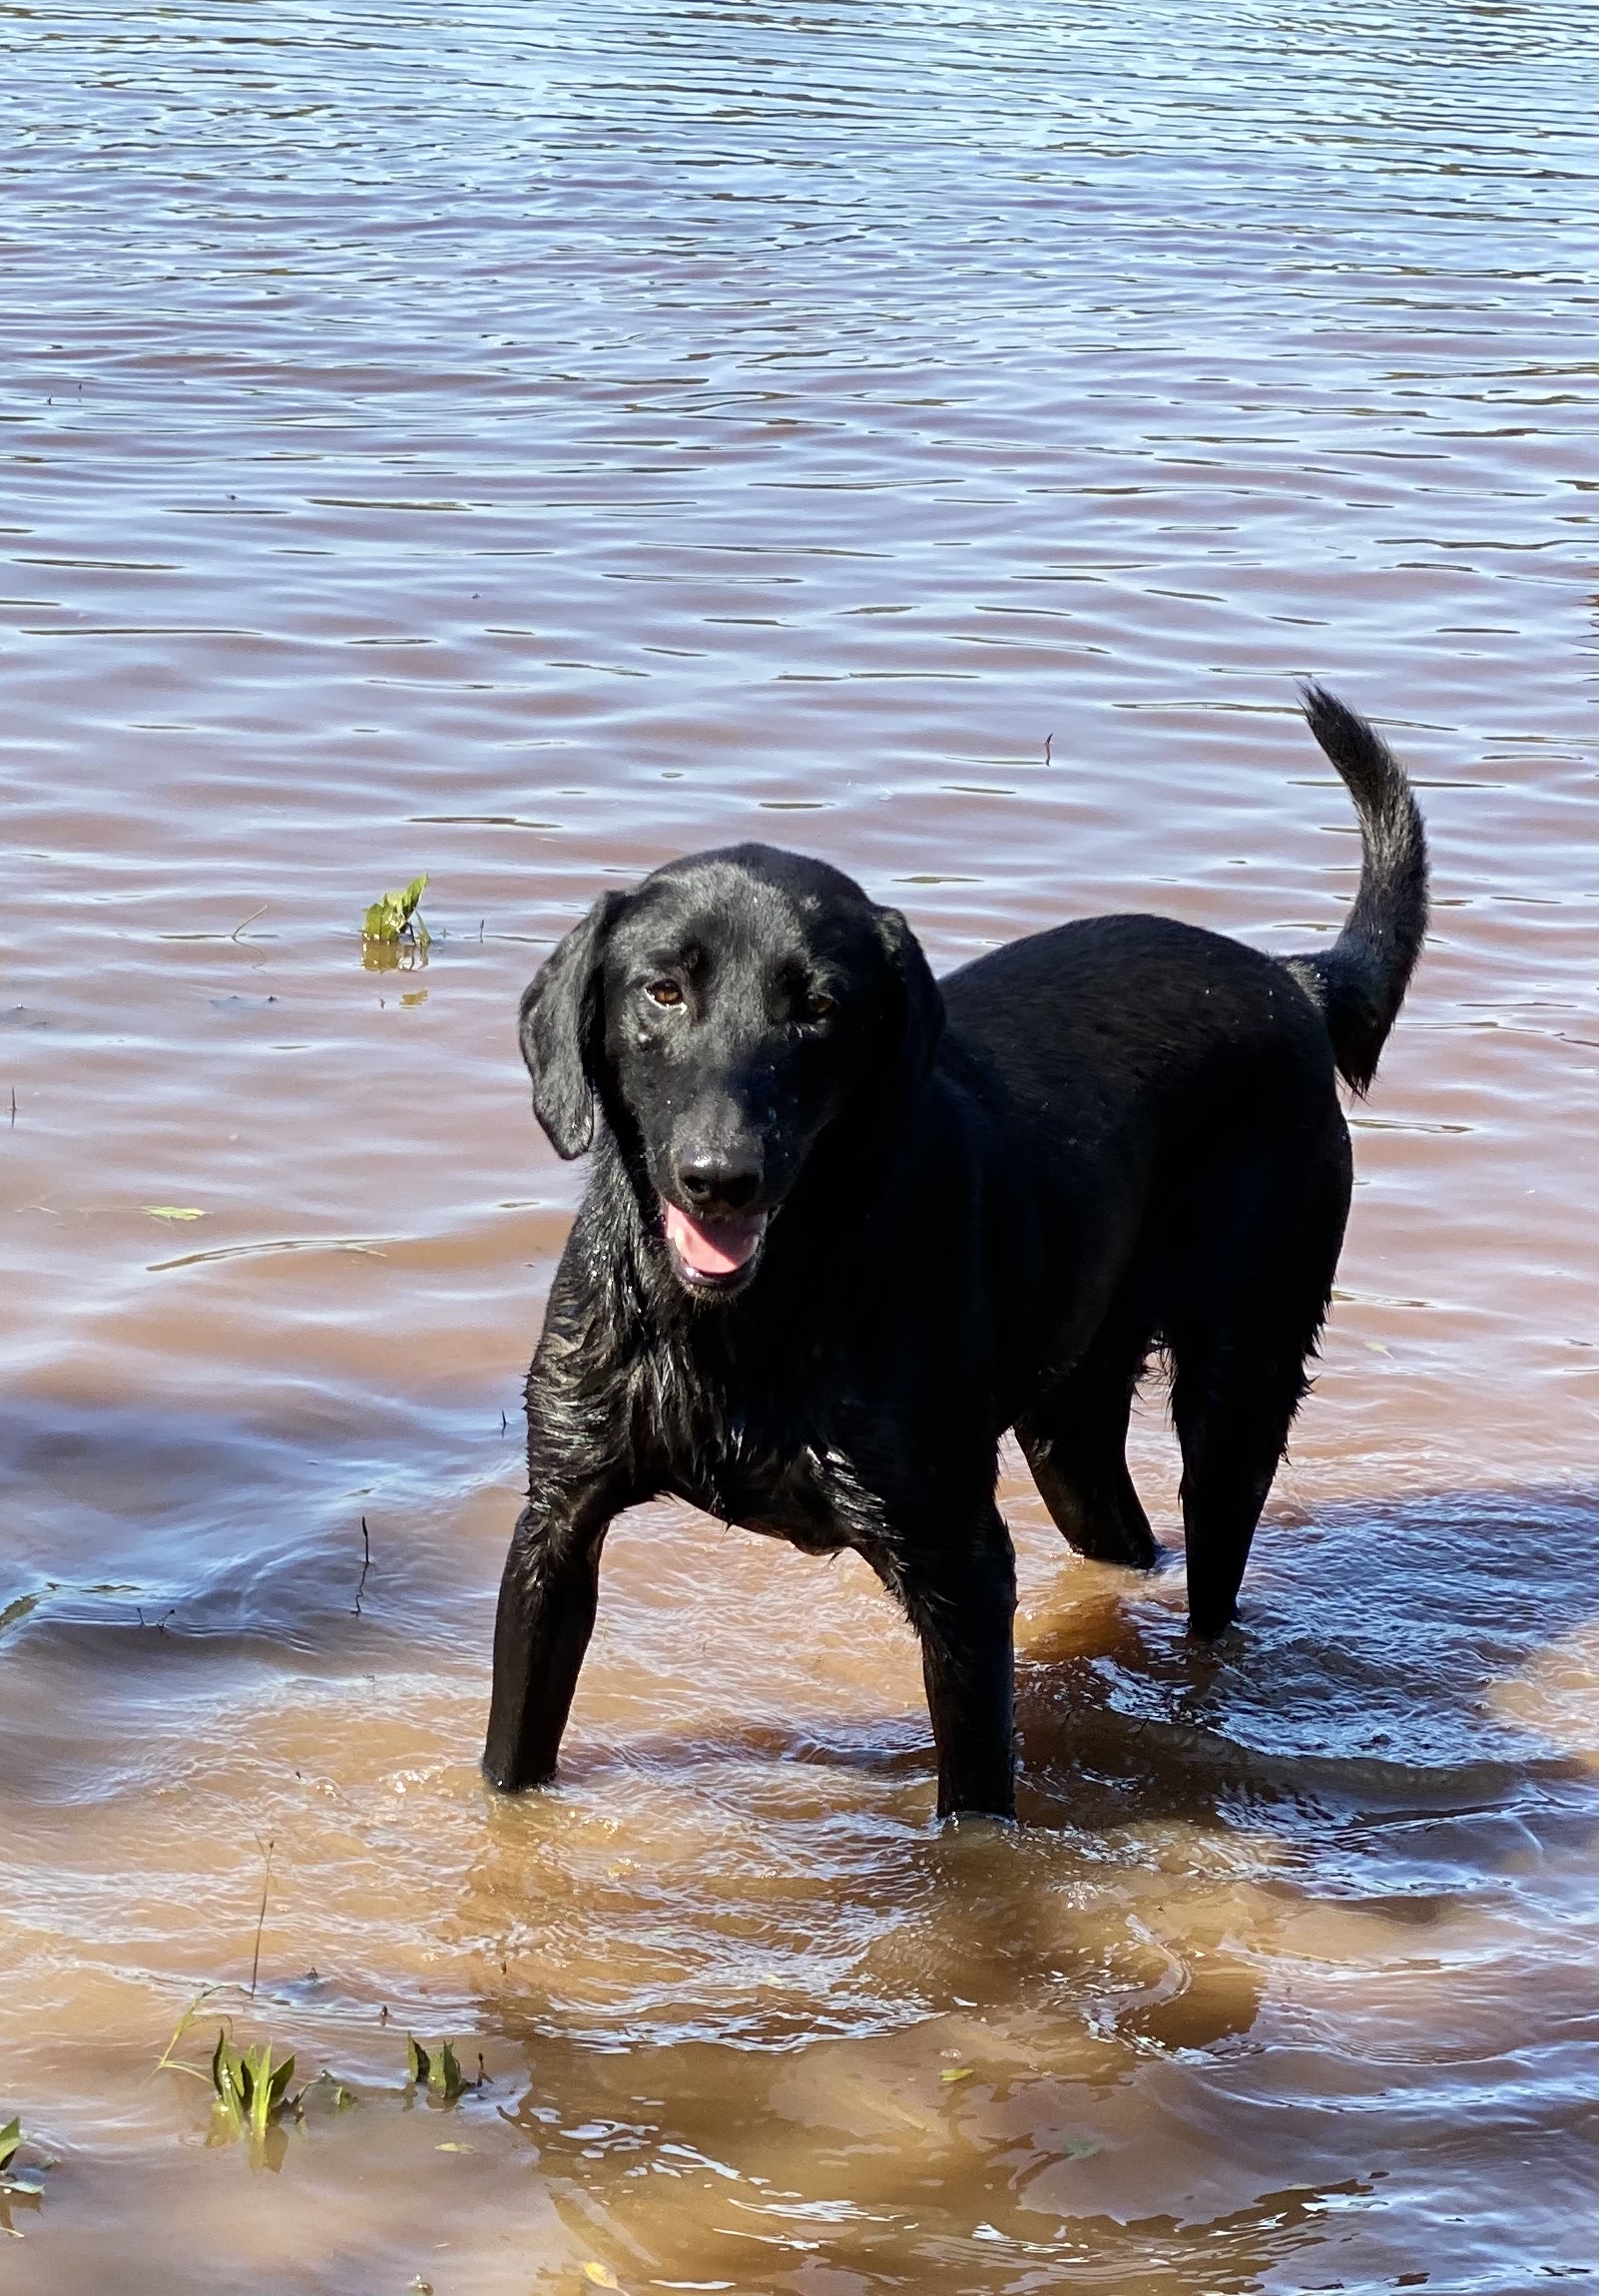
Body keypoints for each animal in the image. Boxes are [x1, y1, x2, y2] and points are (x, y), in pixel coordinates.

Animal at [483, 679, 1422, 1809]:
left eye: (820, 1006)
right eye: (663, 989)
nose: (721, 1175)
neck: (747, 1320)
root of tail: (1294, 981)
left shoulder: (960, 1565)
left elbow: (975, 1802)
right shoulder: (555, 1528)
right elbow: (509, 1759)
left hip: (1239, 1382)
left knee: (1212, 1570)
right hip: (1070, 1430)